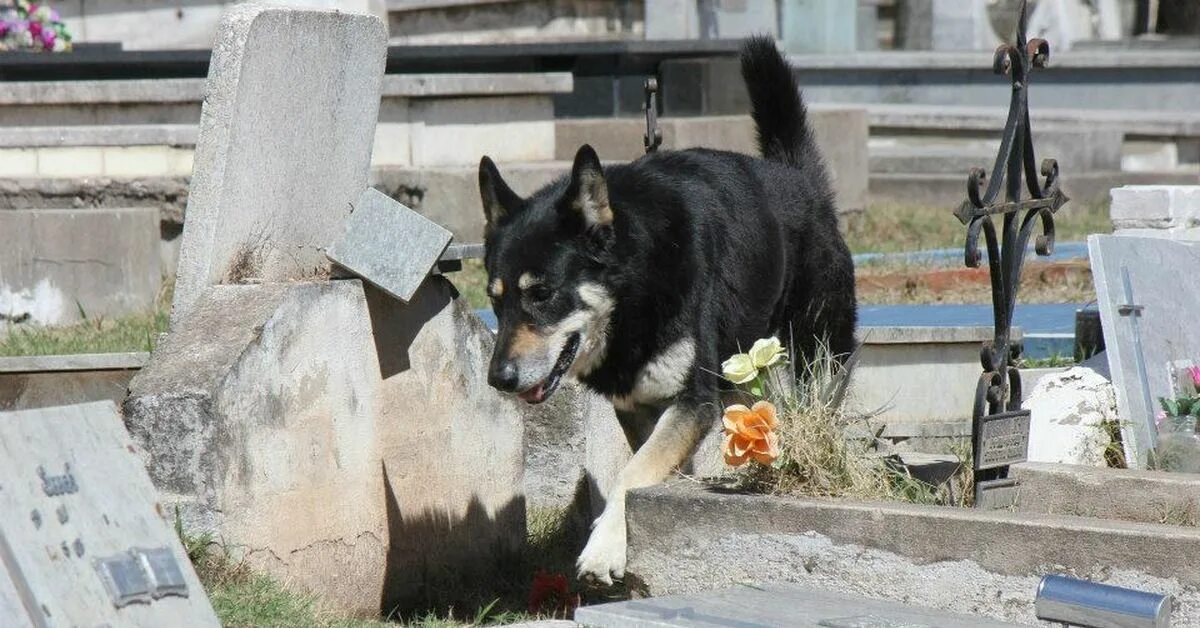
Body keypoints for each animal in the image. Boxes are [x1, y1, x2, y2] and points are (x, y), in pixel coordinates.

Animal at [475, 36, 854, 583]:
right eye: (494, 297)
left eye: (542, 293)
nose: (498, 379)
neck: (636, 287)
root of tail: (797, 177)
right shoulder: (639, 405)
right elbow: (643, 466)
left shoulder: (691, 399)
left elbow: (630, 476)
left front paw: (604, 547)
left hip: (819, 357)